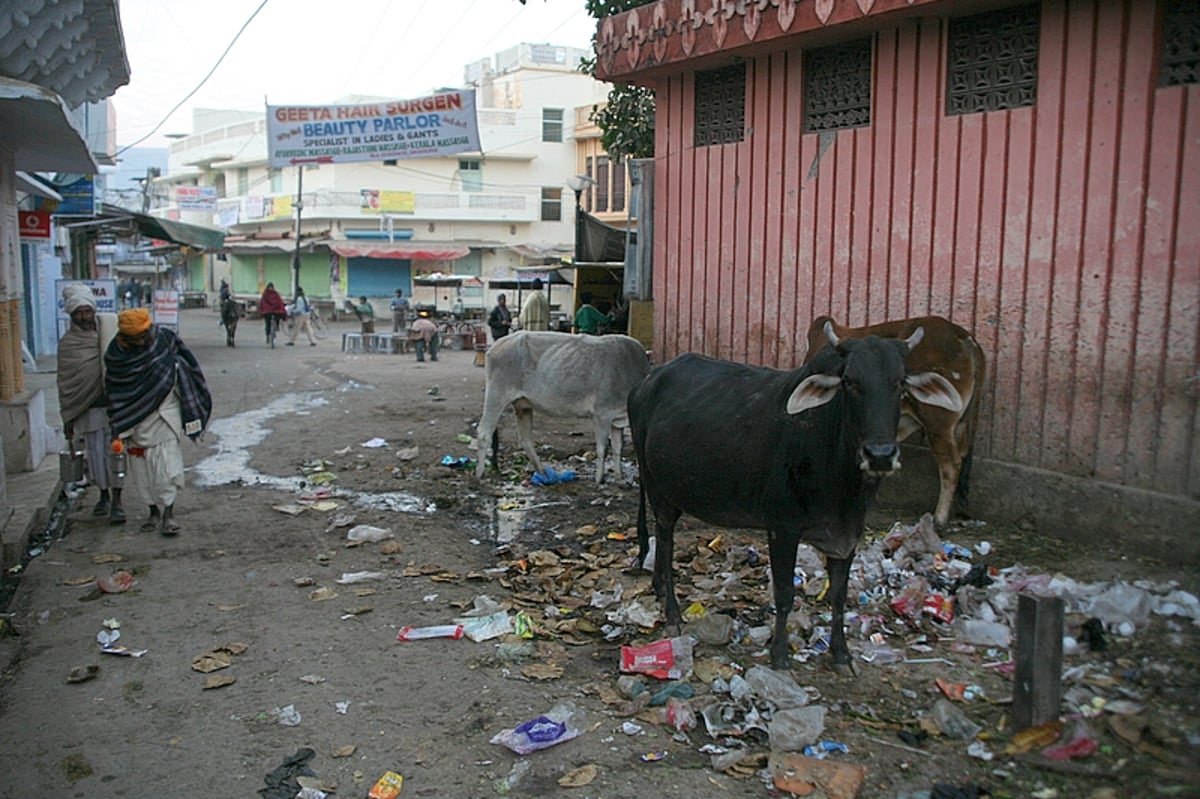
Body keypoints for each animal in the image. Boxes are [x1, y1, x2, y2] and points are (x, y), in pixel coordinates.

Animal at [472, 328, 652, 482]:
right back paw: (479, 474)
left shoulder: (617, 419)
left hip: (523, 405)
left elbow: (617, 448)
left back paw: (543, 472)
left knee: (525, 439)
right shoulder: (602, 414)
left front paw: (619, 477)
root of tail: (496, 345)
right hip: (496, 395)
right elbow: (603, 448)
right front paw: (599, 479)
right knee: (484, 432)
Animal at [628, 321, 964, 667]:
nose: (880, 454)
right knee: (666, 542)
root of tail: (647, 382)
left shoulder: (848, 533)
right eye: (849, 382)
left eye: (900, 382)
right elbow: (785, 594)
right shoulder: (782, 527)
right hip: (657, 488)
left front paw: (840, 652)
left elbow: (839, 595)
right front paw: (779, 654)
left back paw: (658, 588)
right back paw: (671, 610)